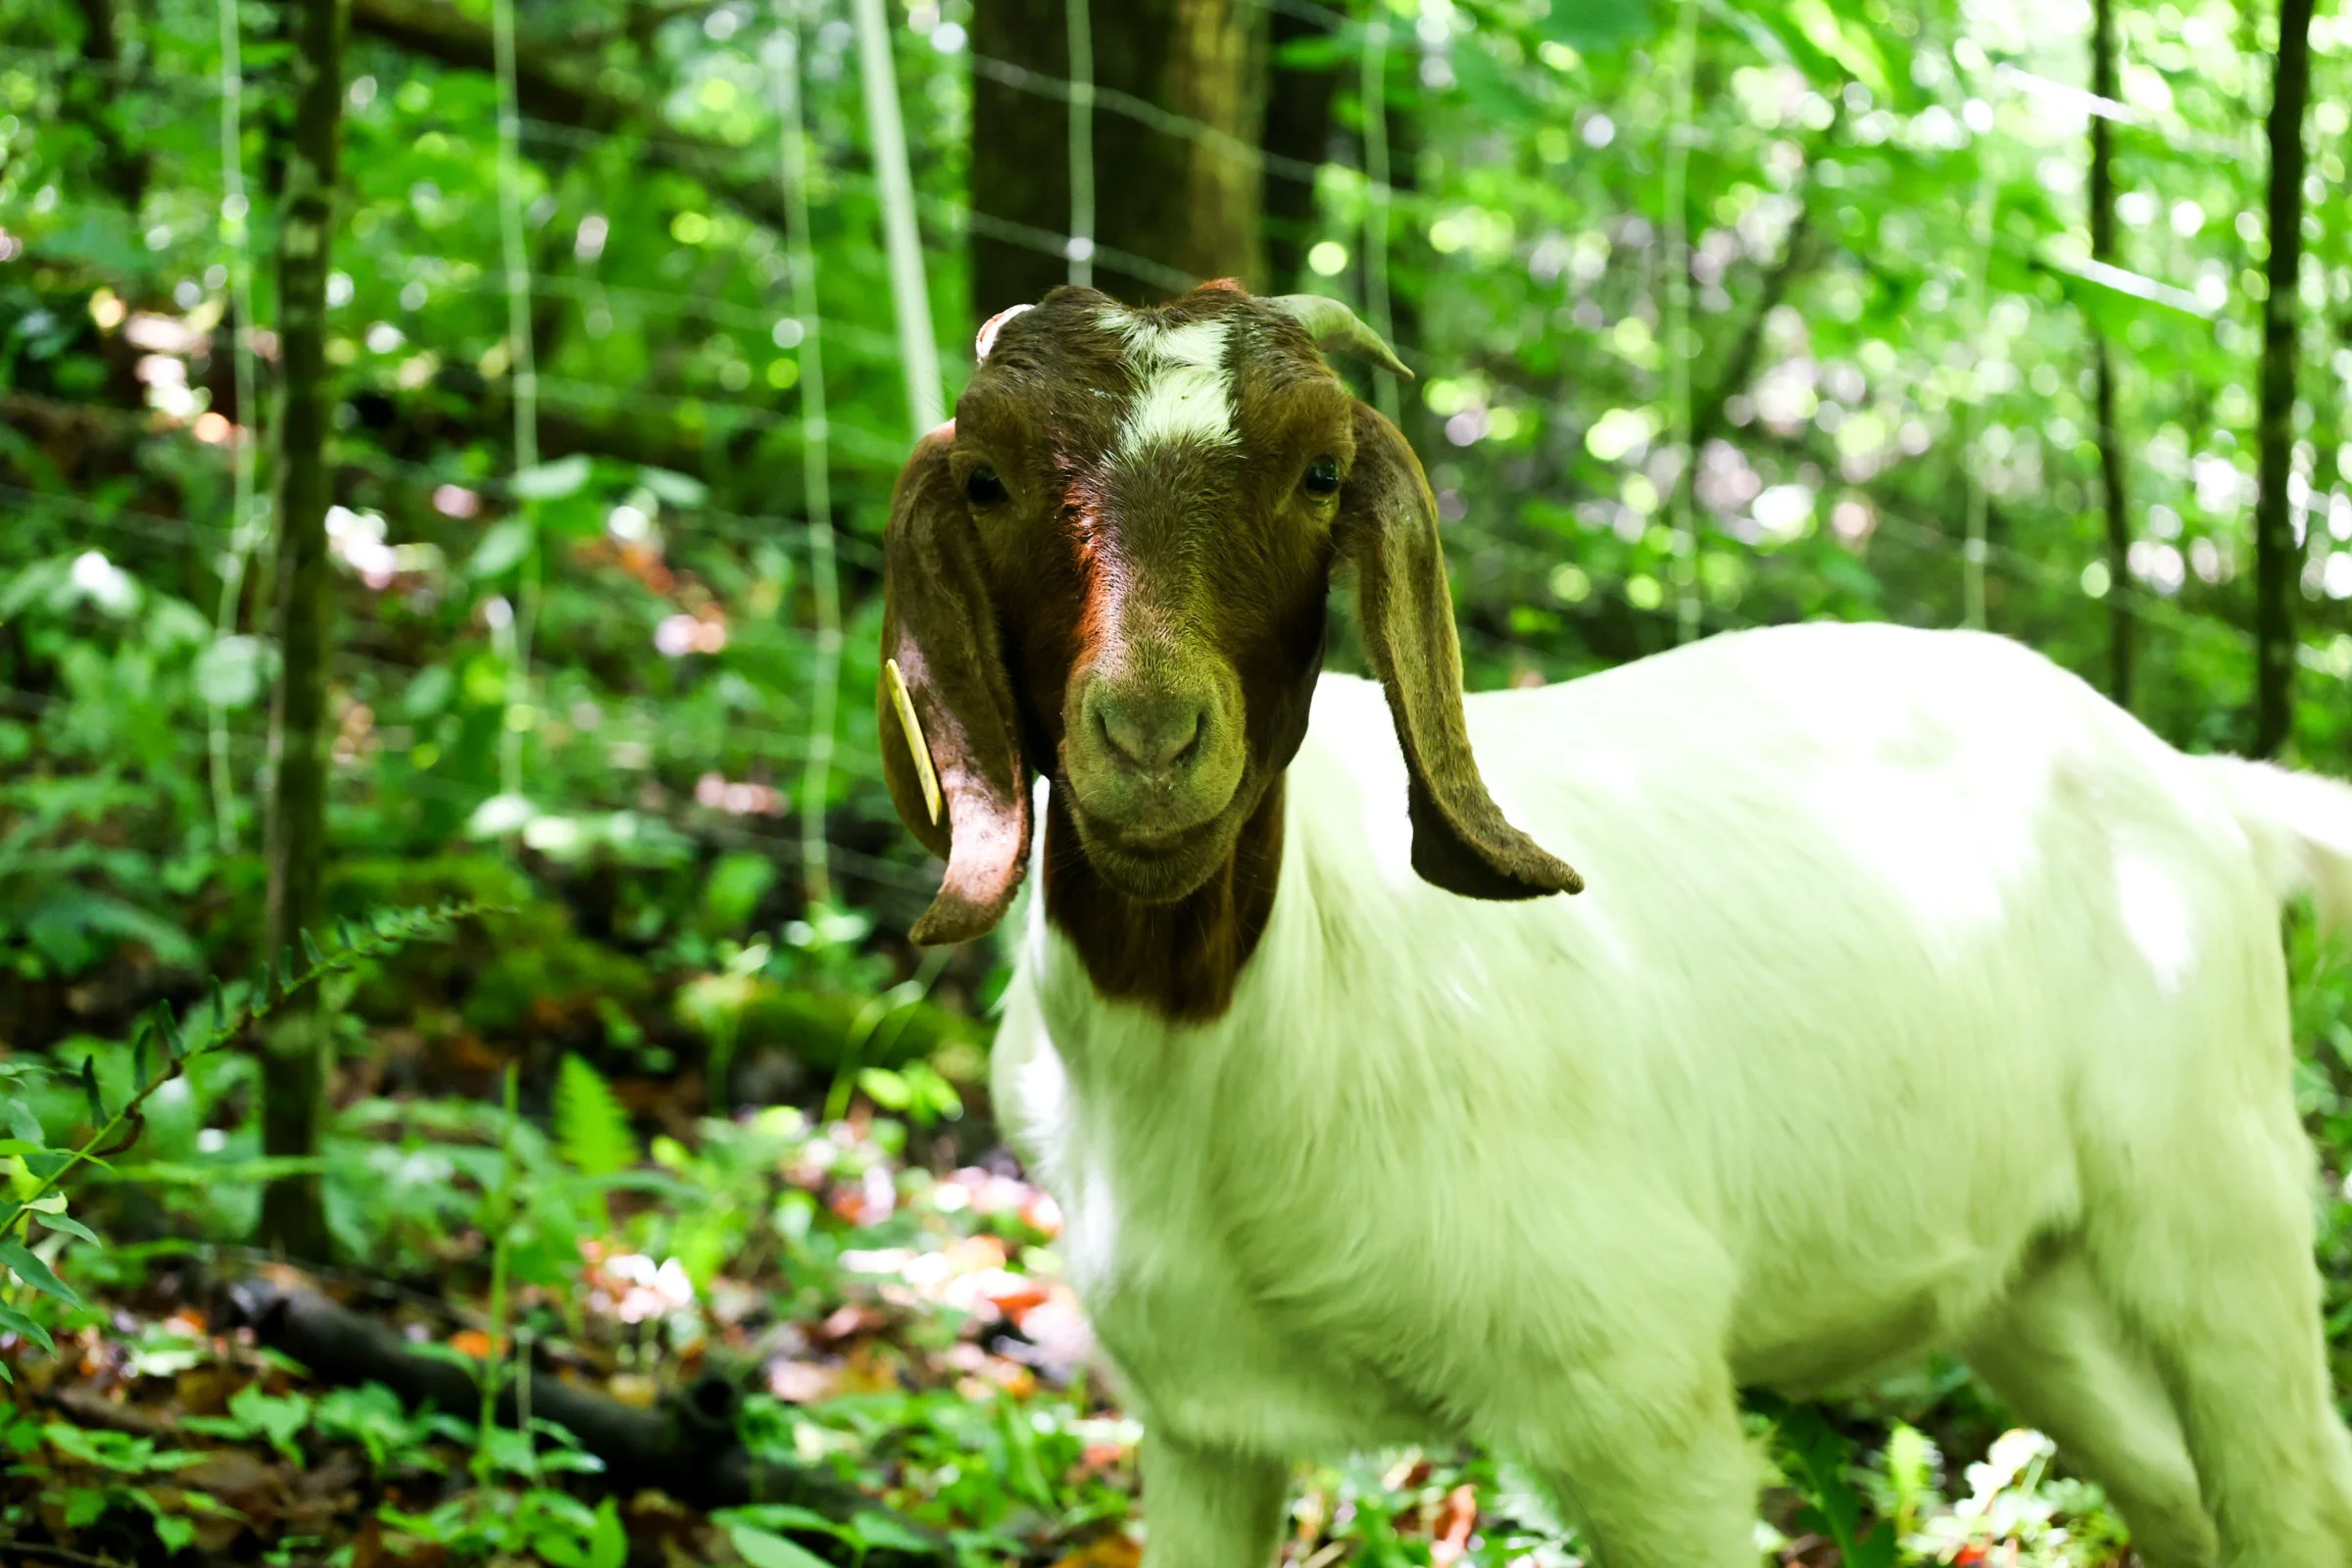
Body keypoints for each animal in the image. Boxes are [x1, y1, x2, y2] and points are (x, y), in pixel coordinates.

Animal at [873, 278, 2352, 1568]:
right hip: (2028, 1285)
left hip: (2217, 1204)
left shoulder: (1641, 1407)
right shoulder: (1200, 1427)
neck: (1234, 1035)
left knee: (2292, 1493)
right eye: (989, 479)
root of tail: (2206, 792)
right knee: (2183, 1501)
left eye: (1319, 475)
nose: (1149, 739)